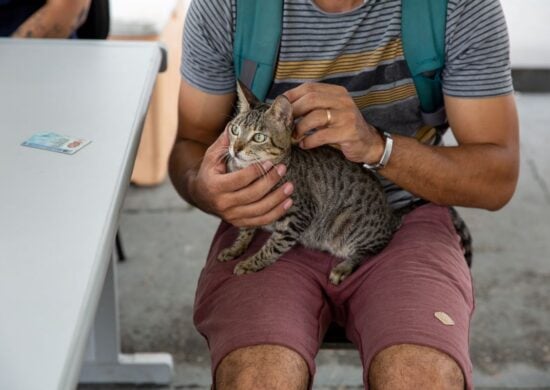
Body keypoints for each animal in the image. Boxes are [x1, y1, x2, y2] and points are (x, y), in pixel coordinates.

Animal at [218, 82, 472, 284]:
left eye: (258, 137)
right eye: (234, 129)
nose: (235, 149)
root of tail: (390, 215)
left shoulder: (298, 215)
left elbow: (273, 246)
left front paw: (250, 264)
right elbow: (246, 228)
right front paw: (235, 248)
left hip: (349, 227)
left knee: (375, 247)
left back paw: (343, 267)